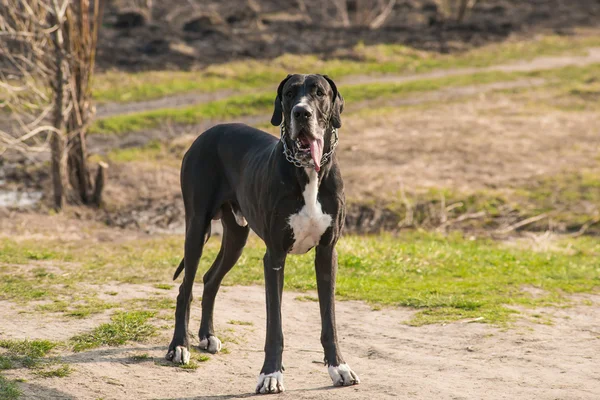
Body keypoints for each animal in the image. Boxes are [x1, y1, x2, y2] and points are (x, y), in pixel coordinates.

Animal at [166, 73, 358, 392]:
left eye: (319, 93)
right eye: (290, 93)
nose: (301, 113)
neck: (308, 172)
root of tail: (207, 133)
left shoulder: (327, 253)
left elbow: (329, 320)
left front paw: (339, 367)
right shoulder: (275, 257)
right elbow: (274, 325)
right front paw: (271, 374)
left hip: (237, 236)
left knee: (210, 279)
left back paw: (207, 336)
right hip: (196, 227)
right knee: (186, 288)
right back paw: (179, 346)